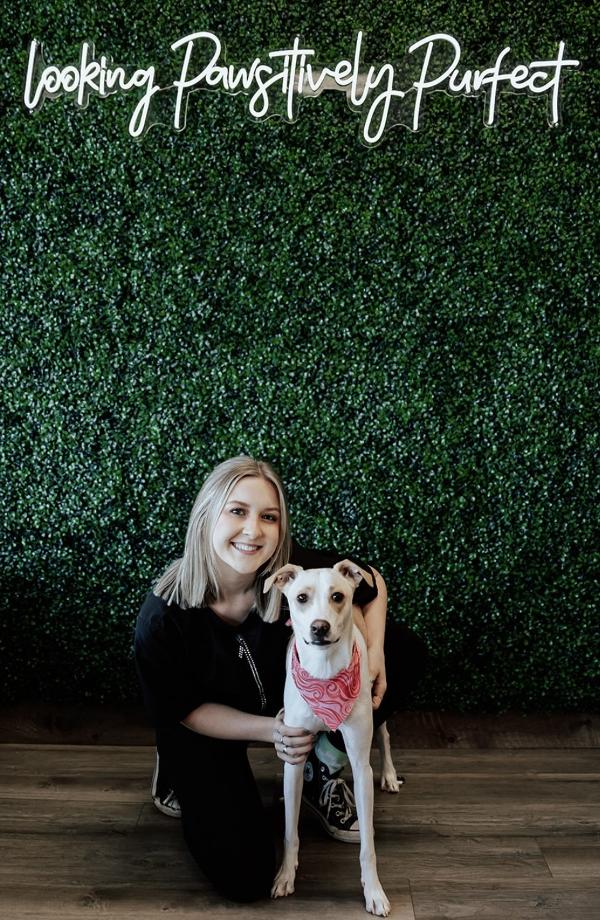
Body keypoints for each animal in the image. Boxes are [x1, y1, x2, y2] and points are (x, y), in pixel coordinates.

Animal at [264, 556, 396, 916]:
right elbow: (289, 831)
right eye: (301, 598)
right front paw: (285, 875)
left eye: (338, 596)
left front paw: (374, 891)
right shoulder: (293, 756)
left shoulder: (361, 766)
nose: (319, 627)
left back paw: (390, 774)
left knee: (384, 736)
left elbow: (368, 845)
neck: (324, 674)